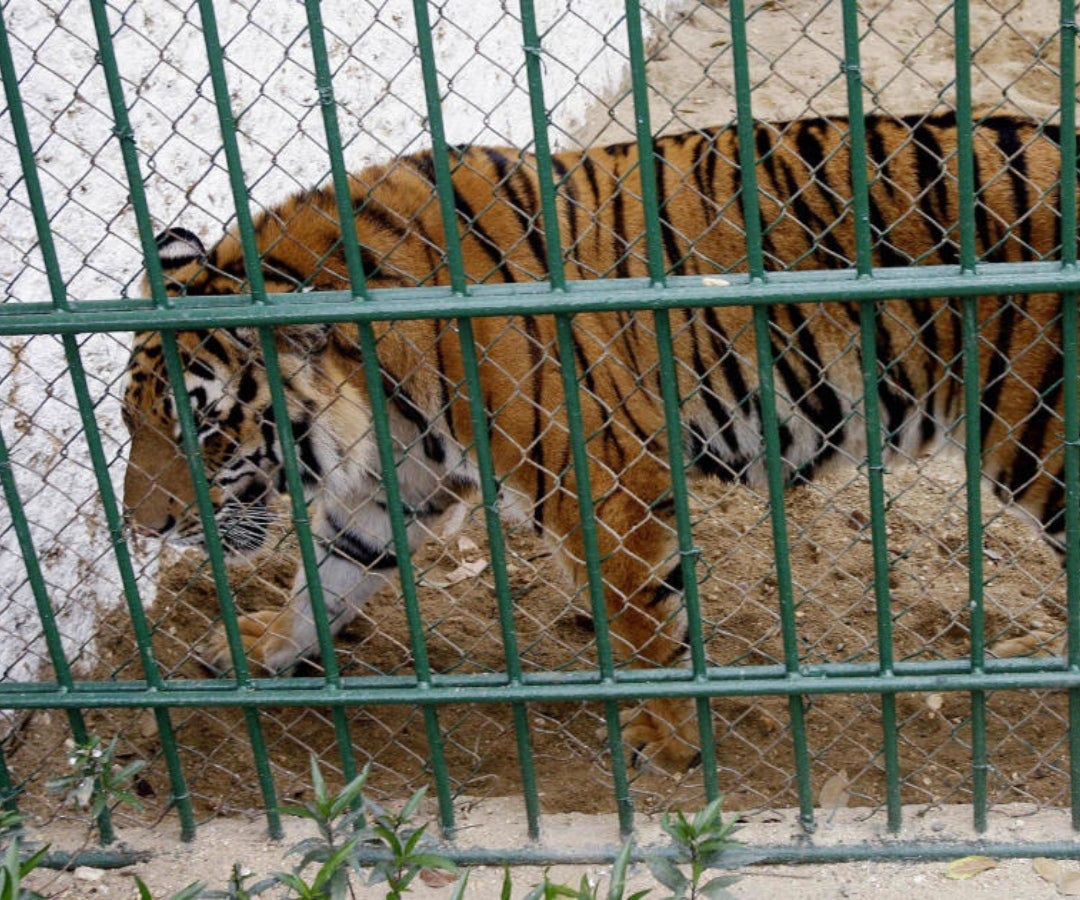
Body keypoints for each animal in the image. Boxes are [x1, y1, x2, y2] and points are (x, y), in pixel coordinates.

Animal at [123, 112, 1077, 773]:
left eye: (203, 428)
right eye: (131, 423)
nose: (142, 526)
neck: (377, 389)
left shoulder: (607, 487)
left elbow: (644, 625)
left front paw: (669, 744)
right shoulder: (398, 485)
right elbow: (329, 574)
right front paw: (255, 649)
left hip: (1044, 449)